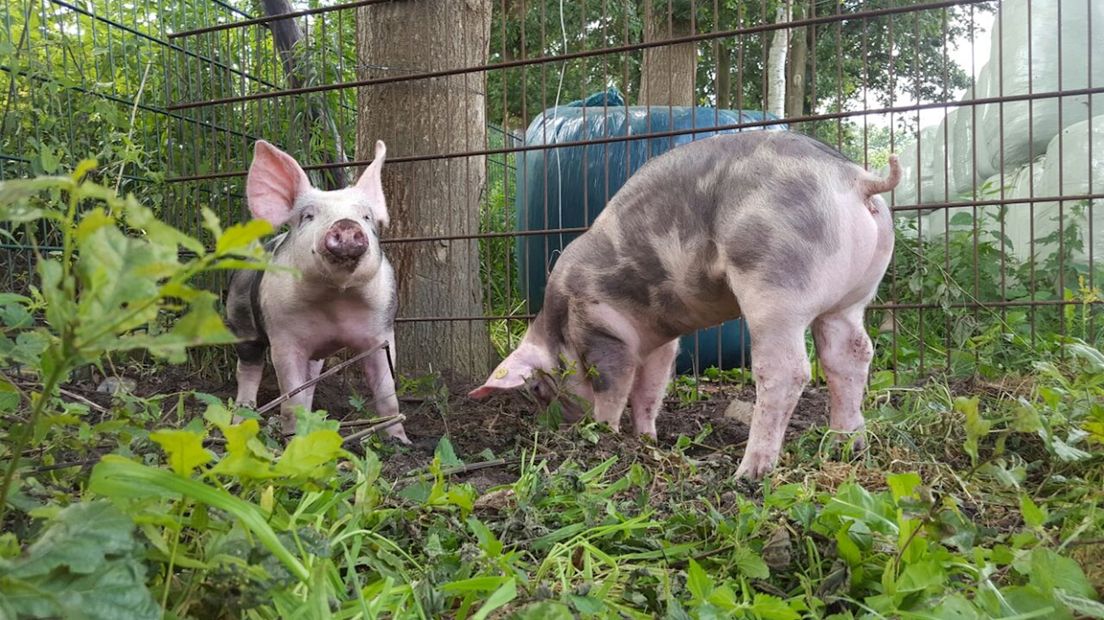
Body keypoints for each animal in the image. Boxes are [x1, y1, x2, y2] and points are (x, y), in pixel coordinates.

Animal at [224, 140, 410, 441]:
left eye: (366, 217)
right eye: (308, 216)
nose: (346, 224)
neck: (335, 300)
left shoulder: (381, 330)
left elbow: (386, 391)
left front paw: (400, 441)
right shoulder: (283, 336)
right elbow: (291, 393)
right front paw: (293, 437)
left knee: (310, 378)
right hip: (240, 320)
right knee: (248, 368)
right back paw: (241, 421)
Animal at [470, 130, 900, 478]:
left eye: (540, 390)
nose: (562, 428)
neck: (561, 324)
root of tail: (853, 178)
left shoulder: (601, 330)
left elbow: (614, 388)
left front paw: (604, 433)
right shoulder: (660, 342)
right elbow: (650, 391)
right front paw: (646, 440)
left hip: (777, 286)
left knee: (787, 371)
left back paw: (749, 473)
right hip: (853, 296)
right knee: (852, 355)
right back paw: (848, 446)